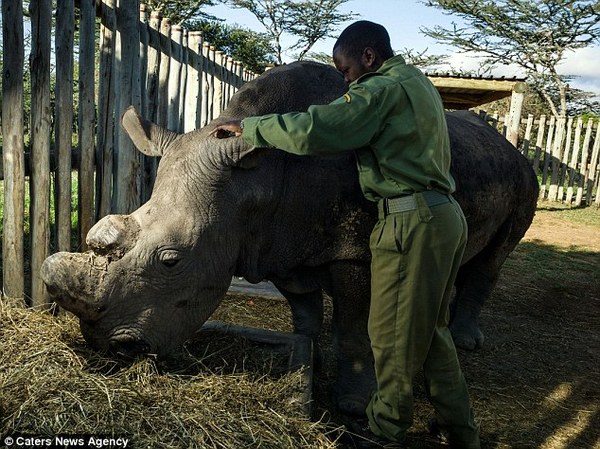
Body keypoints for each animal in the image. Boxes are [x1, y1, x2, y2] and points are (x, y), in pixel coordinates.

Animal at [42, 60, 540, 416]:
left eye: (171, 260)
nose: (112, 350)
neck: (257, 180)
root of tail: (511, 146)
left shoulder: (353, 251)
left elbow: (353, 328)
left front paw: (352, 403)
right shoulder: (275, 243)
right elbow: (303, 309)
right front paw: (305, 355)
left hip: (523, 175)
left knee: (494, 258)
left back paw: (466, 341)